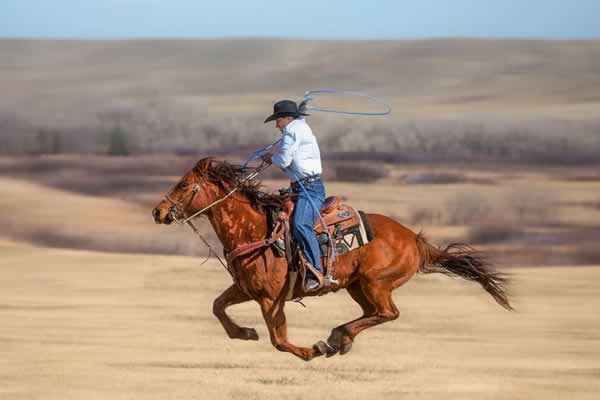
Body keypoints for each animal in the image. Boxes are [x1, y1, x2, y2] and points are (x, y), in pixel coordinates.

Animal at [154, 158, 510, 360]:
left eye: (184, 184)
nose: (158, 211)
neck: (255, 231)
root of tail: (416, 240)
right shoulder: (246, 289)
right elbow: (217, 306)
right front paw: (244, 333)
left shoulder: (270, 299)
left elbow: (279, 340)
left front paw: (311, 351)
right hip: (356, 286)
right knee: (372, 314)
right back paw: (341, 338)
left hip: (375, 282)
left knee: (388, 313)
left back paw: (335, 339)